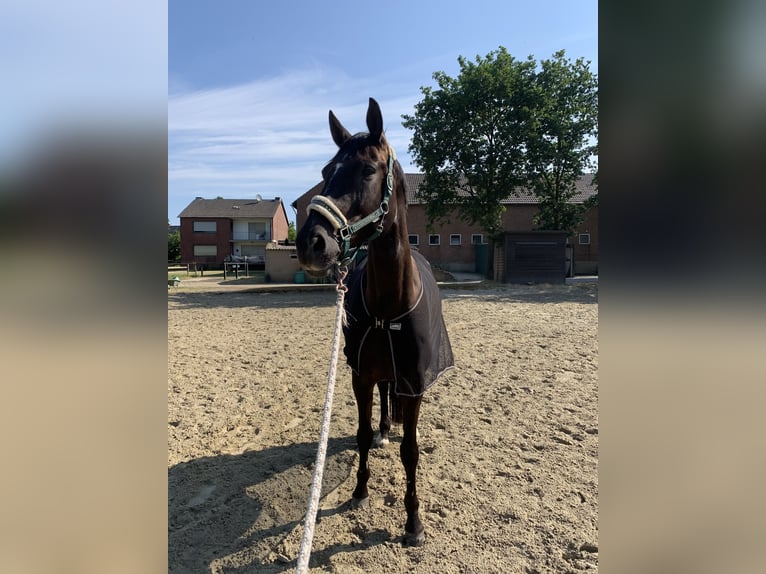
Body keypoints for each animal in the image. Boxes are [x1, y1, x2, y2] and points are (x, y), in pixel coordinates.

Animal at [296, 98, 454, 547]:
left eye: (368, 169)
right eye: (325, 171)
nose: (311, 242)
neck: (388, 306)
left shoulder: (414, 383)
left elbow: (411, 451)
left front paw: (413, 522)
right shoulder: (360, 375)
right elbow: (364, 433)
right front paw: (360, 491)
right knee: (384, 399)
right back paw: (385, 428)